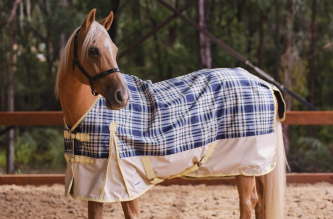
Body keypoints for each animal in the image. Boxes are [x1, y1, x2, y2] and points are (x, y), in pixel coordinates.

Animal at [55, 9, 286, 219]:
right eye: (93, 50)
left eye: (113, 48)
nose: (122, 97)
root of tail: (263, 83)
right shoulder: (94, 188)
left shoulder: (126, 186)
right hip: (253, 169)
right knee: (259, 204)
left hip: (246, 166)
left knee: (247, 202)